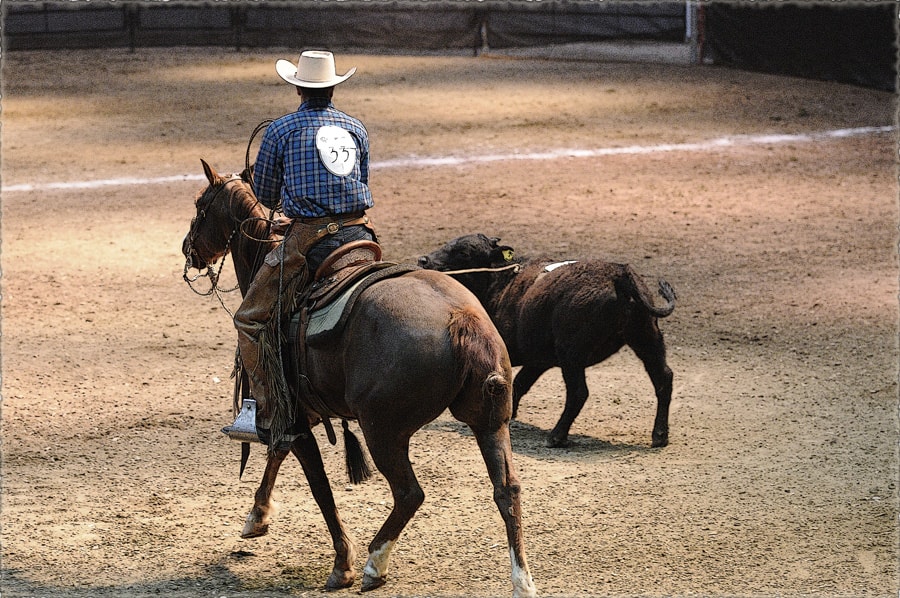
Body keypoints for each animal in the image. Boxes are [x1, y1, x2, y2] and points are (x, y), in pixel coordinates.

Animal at [419, 233, 676, 448]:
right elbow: (520, 384)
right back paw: (660, 435)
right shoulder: (538, 359)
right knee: (663, 378)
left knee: (578, 393)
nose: (423, 260)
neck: (500, 282)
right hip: (646, 338)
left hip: (572, 353)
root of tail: (620, 275)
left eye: (463, 252)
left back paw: (557, 436)